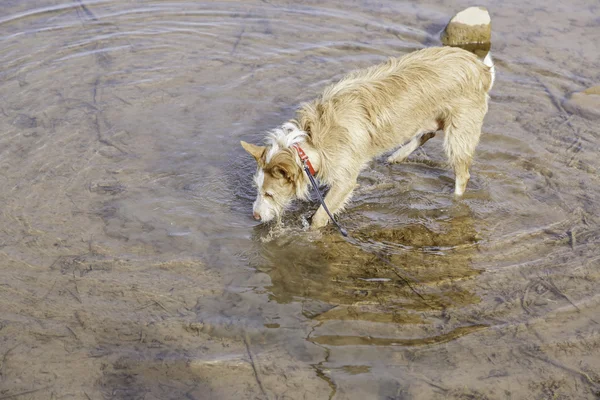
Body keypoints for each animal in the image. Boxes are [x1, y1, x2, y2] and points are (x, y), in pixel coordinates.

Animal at [241, 44, 494, 228]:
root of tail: (479, 67)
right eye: (257, 189)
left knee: (462, 174)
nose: (254, 216)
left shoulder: (345, 179)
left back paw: (455, 199)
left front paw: (312, 233)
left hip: (460, 131)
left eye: (269, 194)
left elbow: (321, 215)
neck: (310, 143)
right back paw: (398, 155)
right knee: (428, 131)